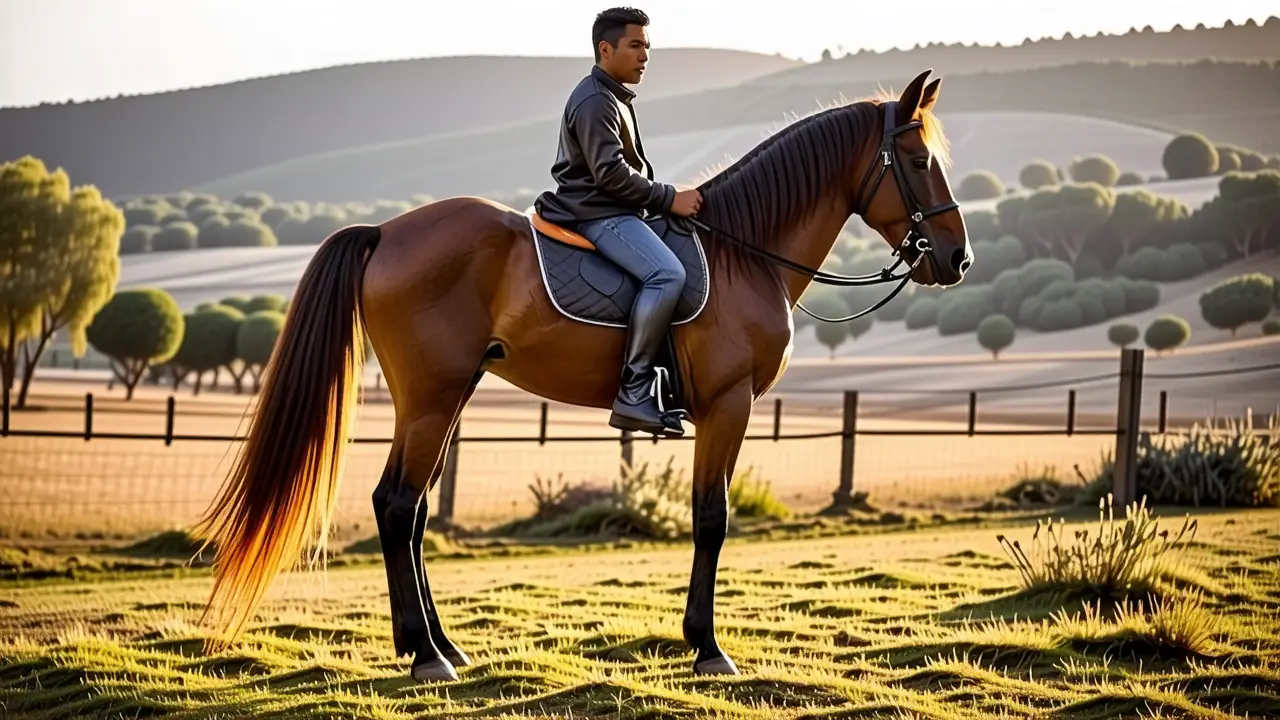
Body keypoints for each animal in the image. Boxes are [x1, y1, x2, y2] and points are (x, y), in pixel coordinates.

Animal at [193, 68, 972, 681]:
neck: (746, 252)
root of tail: (387, 232)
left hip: (445, 397)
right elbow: (712, 518)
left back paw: (440, 645)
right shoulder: (730, 407)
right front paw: (708, 647)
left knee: (410, 512)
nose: (957, 259)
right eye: (917, 159)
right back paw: (426, 655)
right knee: (396, 505)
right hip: (431, 397)